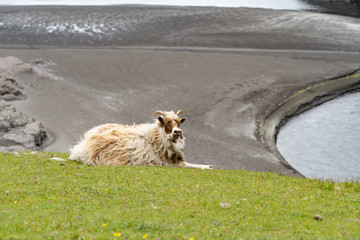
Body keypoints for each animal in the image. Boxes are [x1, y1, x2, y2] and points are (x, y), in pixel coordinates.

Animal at [69, 109, 212, 170]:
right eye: (166, 122)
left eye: (178, 122)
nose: (177, 132)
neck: (156, 138)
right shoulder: (168, 163)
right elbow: (187, 165)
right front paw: (207, 167)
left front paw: (208, 165)